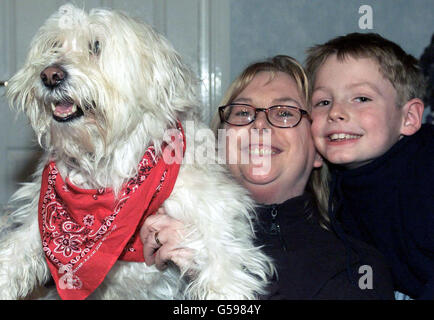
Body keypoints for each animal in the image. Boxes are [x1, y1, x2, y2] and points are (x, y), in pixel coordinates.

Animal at [0, 4, 272, 300]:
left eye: (96, 46)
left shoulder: (215, 219)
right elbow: (14, 253)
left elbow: (223, 274)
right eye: (54, 45)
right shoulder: (34, 223)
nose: (50, 75)